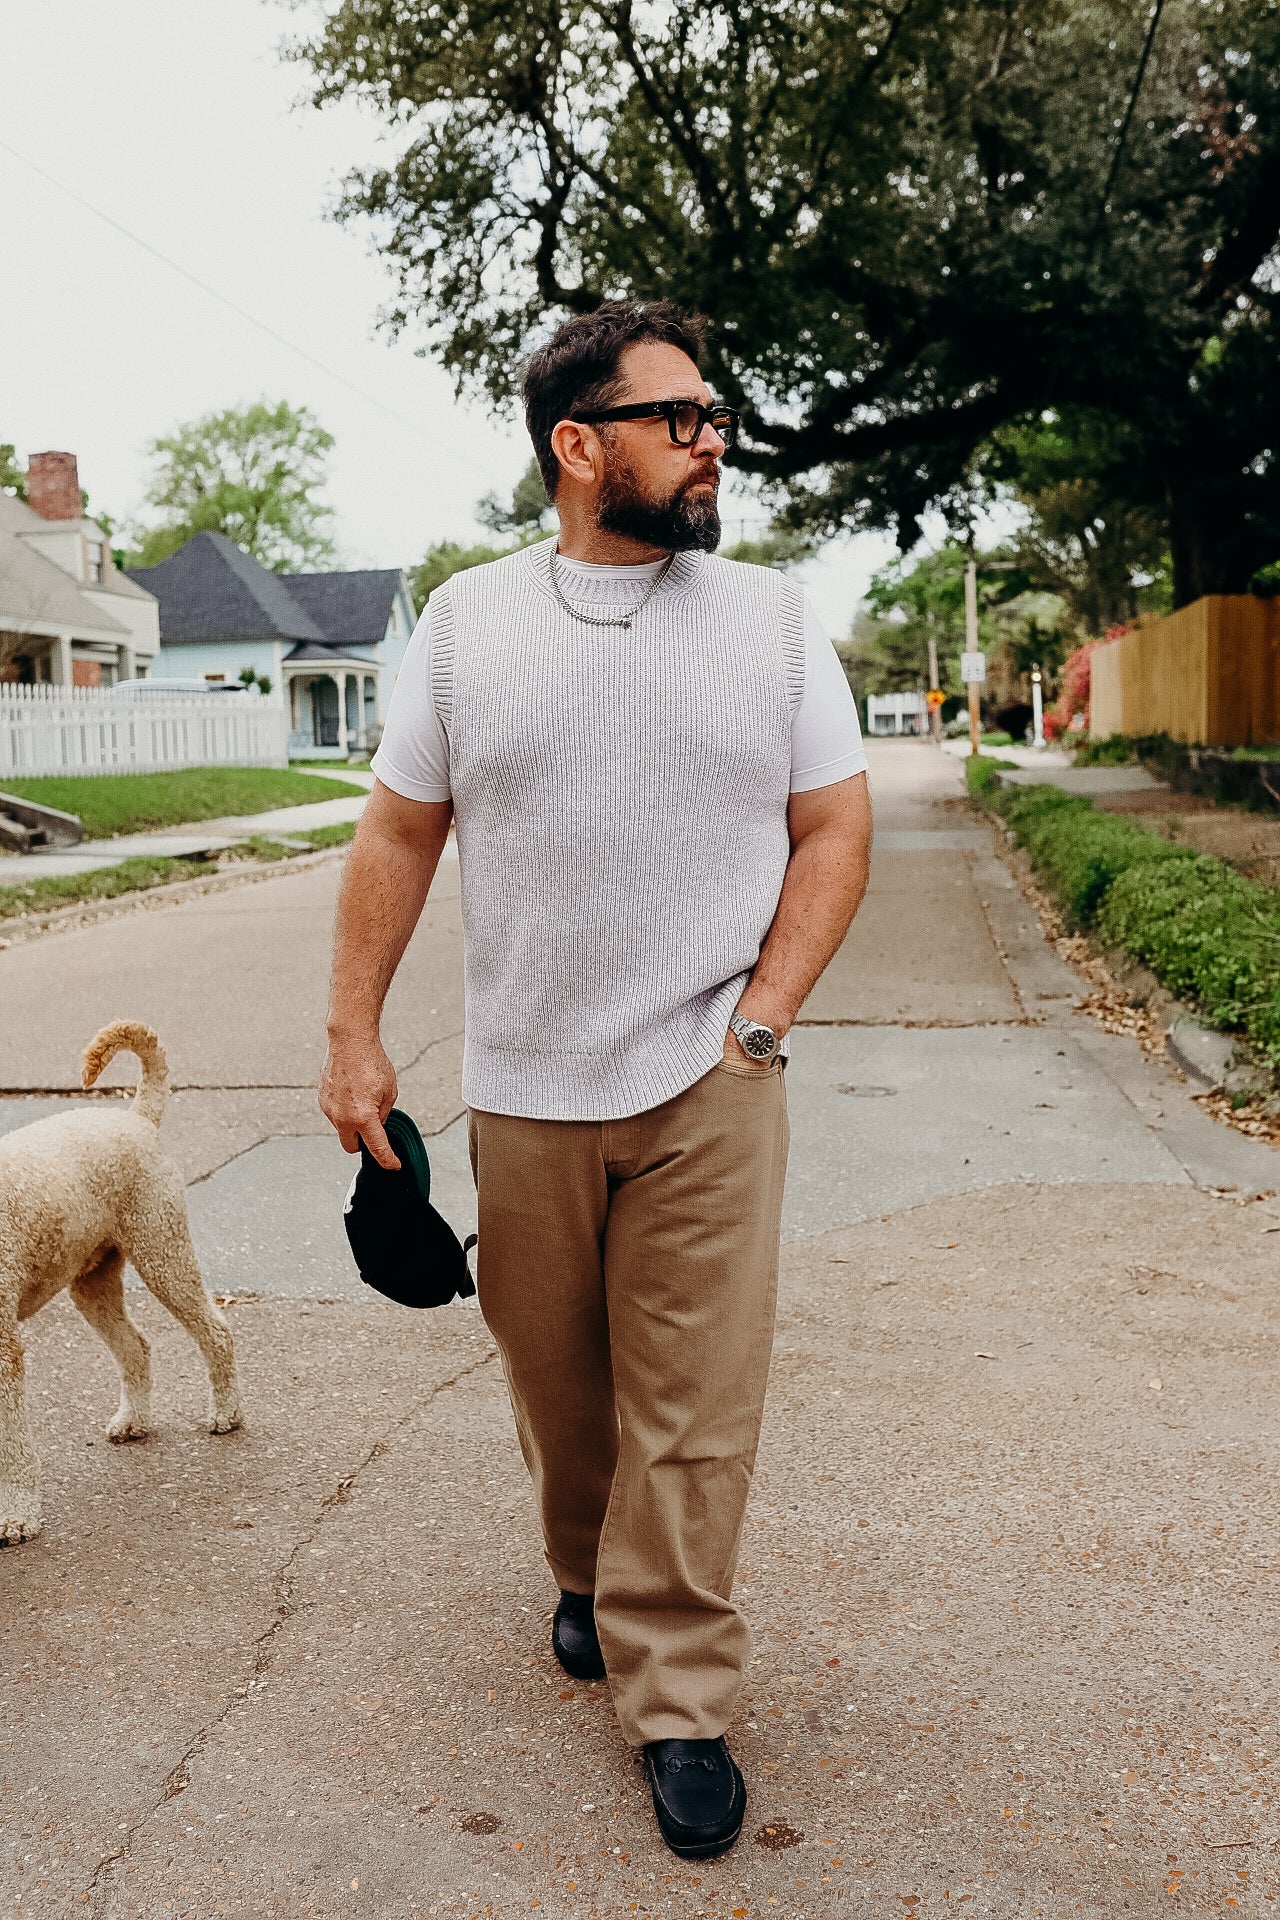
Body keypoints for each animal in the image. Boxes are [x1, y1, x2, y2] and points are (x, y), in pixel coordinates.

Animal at [0, 1021, 241, 1543]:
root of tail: (137, 1118)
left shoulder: (1, 1350)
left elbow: (11, 1445)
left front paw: (17, 1515)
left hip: (162, 1252)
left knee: (215, 1331)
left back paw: (227, 1413)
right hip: (93, 1282)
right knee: (136, 1347)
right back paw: (134, 1420)